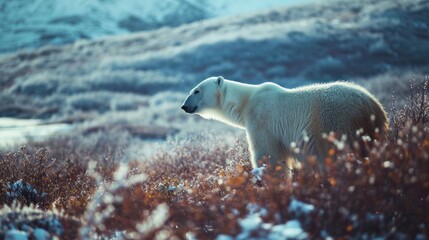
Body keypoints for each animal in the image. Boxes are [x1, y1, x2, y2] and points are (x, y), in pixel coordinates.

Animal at [181, 77, 388, 172]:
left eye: (196, 90)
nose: (184, 106)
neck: (246, 102)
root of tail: (372, 104)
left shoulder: (262, 121)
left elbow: (268, 156)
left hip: (335, 122)